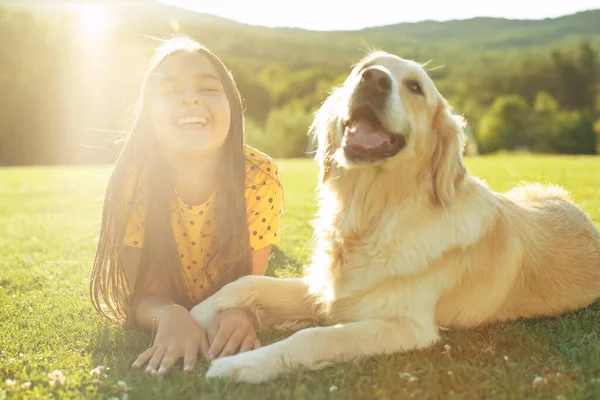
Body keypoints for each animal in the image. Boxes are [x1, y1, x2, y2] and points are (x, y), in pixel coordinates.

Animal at [190, 50, 600, 384]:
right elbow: (245, 284)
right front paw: (189, 317)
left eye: (416, 87)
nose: (373, 79)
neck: (371, 215)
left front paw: (241, 364)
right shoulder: (326, 289)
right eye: (362, 68)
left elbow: (315, 335)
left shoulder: (407, 326)